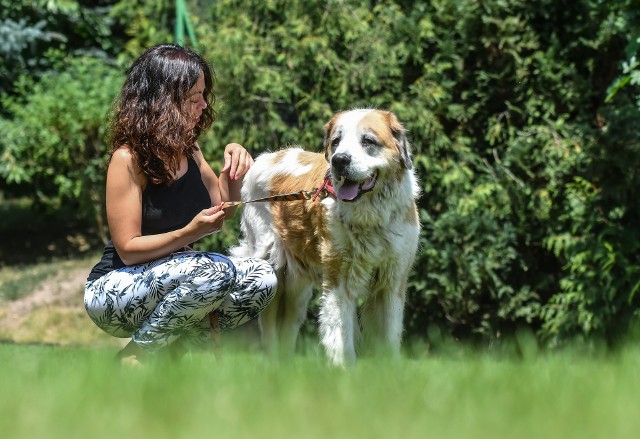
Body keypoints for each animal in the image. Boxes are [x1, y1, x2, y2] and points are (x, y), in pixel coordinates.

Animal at [230, 110, 420, 368]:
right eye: (336, 141)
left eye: (368, 141)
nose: (339, 160)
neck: (369, 218)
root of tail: (267, 157)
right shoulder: (338, 280)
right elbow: (341, 334)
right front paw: (344, 371)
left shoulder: (391, 282)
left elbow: (389, 336)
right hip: (272, 271)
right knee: (269, 328)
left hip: (297, 290)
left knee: (287, 326)